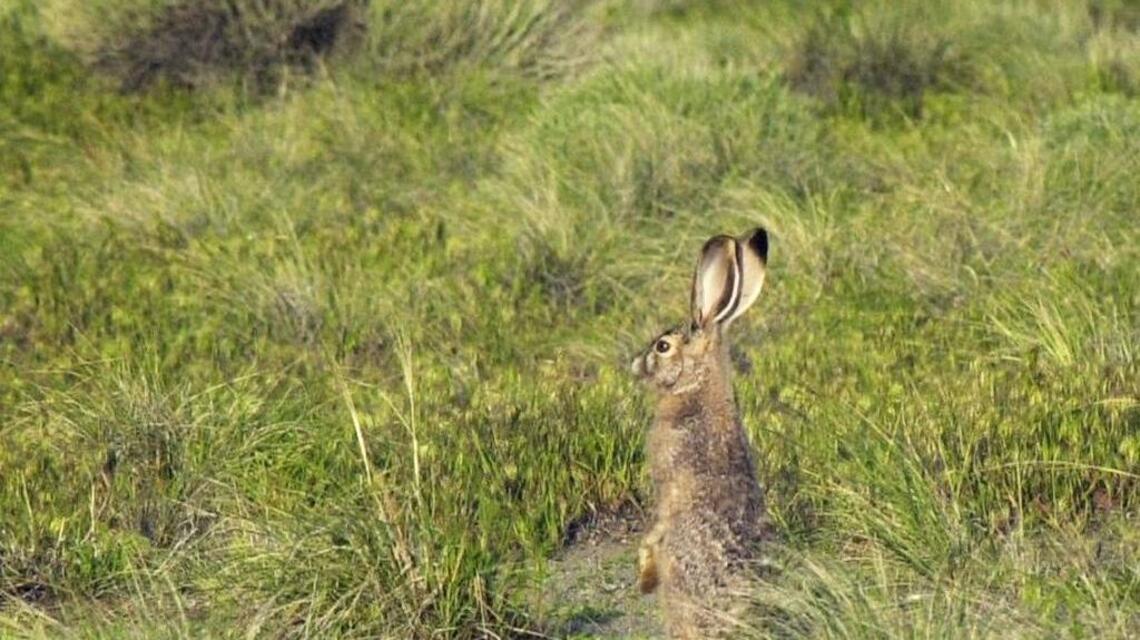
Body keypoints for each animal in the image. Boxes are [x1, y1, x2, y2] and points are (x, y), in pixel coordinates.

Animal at [630, 227, 771, 639]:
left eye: (662, 346)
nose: (635, 364)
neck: (695, 387)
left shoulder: (668, 485)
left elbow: (656, 528)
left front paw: (644, 573)